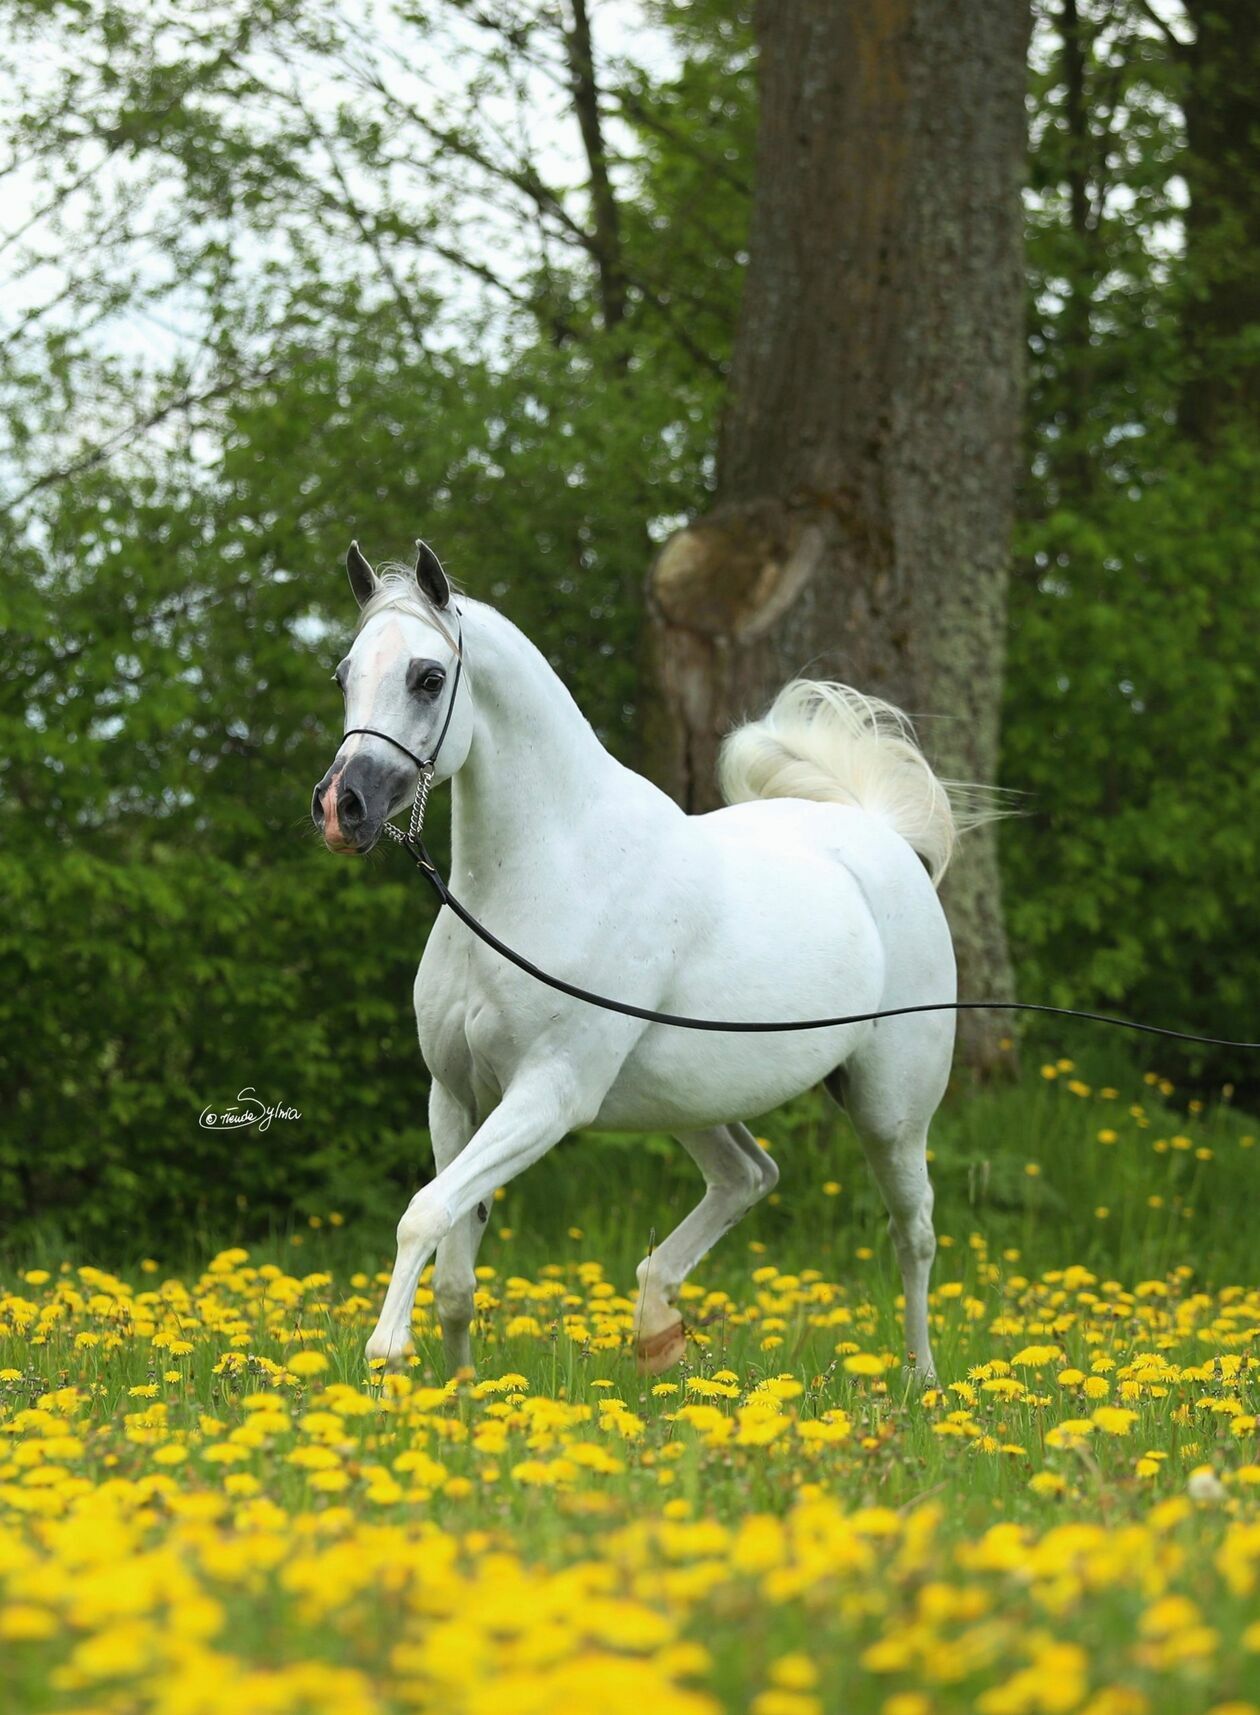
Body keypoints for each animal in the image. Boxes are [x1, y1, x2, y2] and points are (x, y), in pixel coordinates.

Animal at [310, 541, 980, 1385]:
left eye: (428, 677)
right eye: (345, 674)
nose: (342, 808)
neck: (545, 874)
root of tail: (880, 832)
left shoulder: (548, 1095)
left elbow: (424, 1211)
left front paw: (386, 1349)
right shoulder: (455, 1095)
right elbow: (456, 1275)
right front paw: (459, 1390)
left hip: (891, 1108)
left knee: (912, 1230)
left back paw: (921, 1380)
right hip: (690, 1099)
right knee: (748, 1176)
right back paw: (658, 1325)